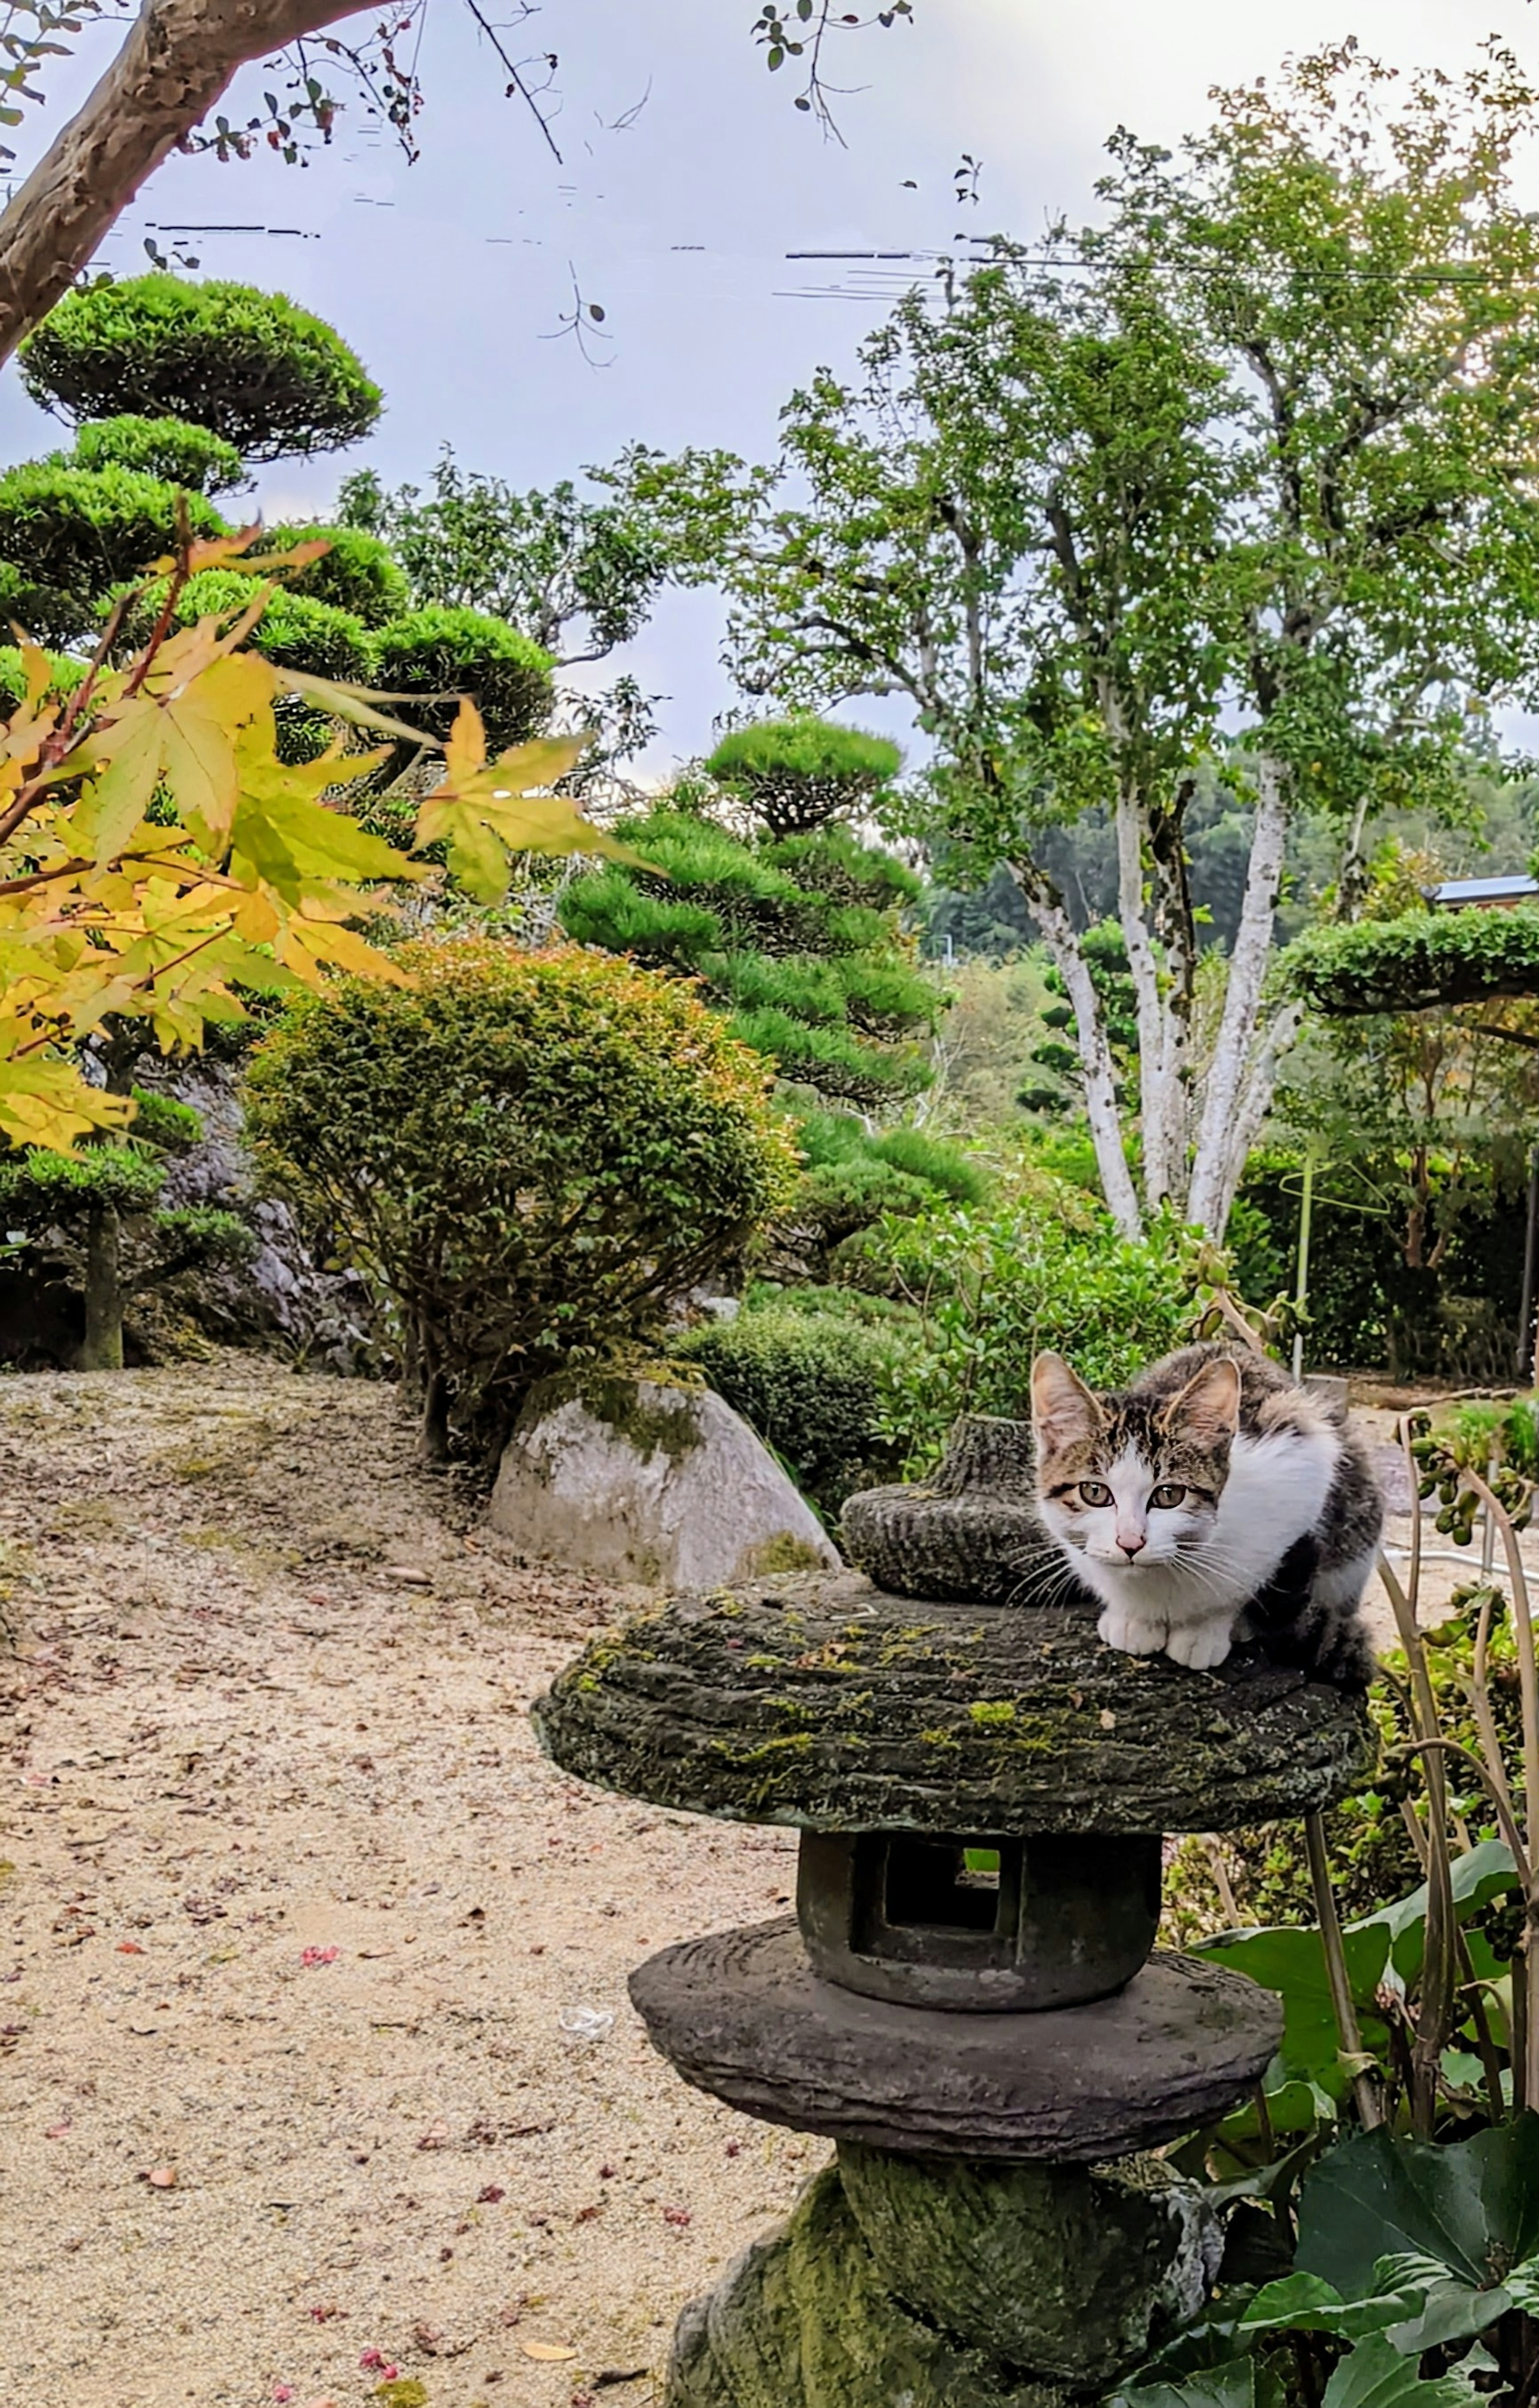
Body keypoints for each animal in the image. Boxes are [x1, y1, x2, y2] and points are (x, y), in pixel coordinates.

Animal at [1036, 1338, 1387, 1695]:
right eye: (1094, 1492)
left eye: (1169, 1495)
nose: (1130, 1542)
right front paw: (1132, 1619)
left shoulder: (1301, 1465)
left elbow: (1246, 1586)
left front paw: (1206, 1630)